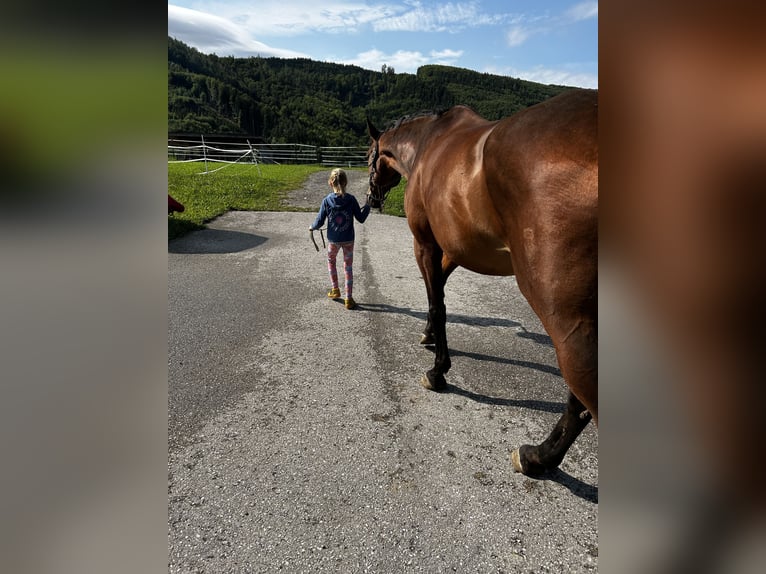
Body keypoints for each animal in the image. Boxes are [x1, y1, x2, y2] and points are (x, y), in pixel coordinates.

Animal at [368, 89, 600, 476]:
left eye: (368, 155)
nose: (371, 199)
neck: (428, 142)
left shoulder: (426, 243)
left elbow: (437, 301)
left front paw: (438, 371)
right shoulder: (454, 249)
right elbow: (437, 292)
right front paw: (429, 335)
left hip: (567, 319)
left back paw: (538, 456)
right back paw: (540, 456)